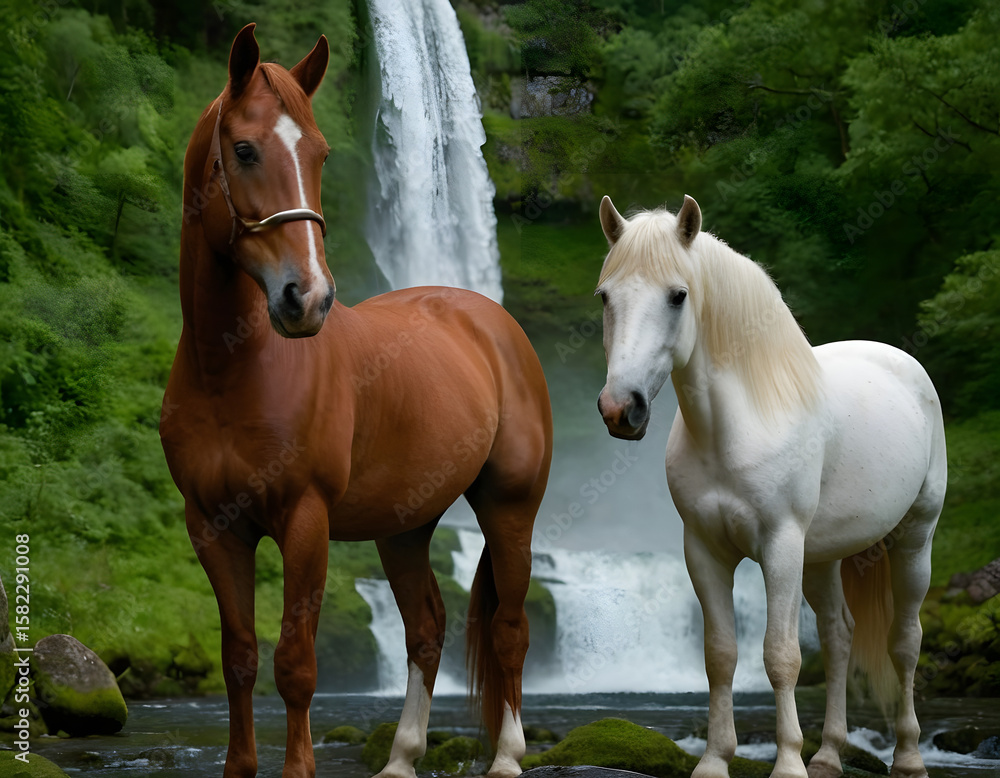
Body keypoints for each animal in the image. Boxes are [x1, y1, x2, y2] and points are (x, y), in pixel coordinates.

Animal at [159, 24, 552, 778]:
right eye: (244, 149)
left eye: (319, 153)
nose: (307, 298)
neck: (232, 373)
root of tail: (493, 322)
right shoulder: (212, 529)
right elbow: (240, 659)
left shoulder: (305, 521)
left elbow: (295, 663)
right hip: (404, 527)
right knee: (427, 628)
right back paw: (401, 757)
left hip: (509, 508)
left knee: (510, 631)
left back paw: (507, 756)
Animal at [594, 195, 945, 778]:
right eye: (605, 296)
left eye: (678, 295)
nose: (622, 409)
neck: (737, 426)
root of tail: (905, 363)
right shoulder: (704, 550)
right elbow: (721, 655)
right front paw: (715, 760)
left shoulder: (780, 546)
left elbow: (780, 657)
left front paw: (786, 764)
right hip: (822, 556)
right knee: (839, 635)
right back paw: (828, 755)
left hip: (914, 539)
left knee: (905, 642)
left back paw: (909, 756)